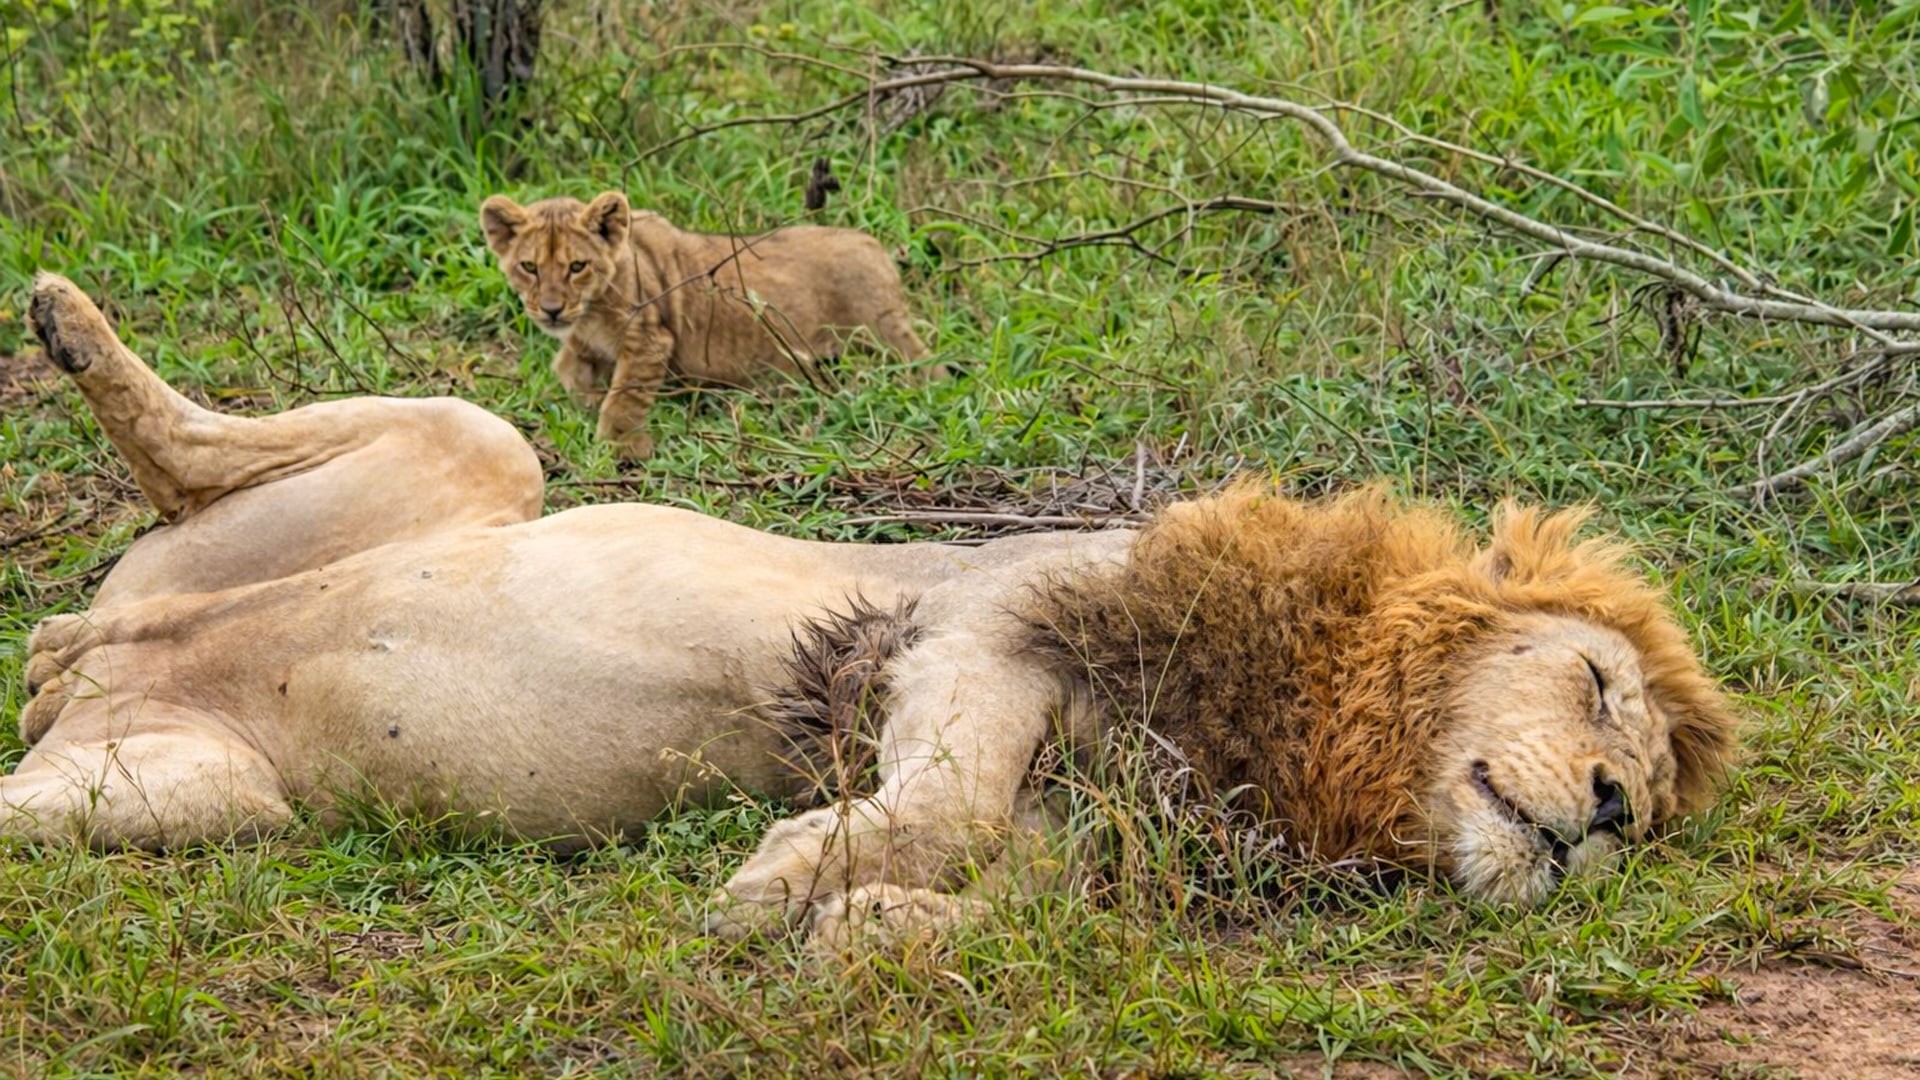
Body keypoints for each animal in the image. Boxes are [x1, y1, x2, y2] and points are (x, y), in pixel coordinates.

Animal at [9, 274, 1737, 947]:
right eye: (1597, 687)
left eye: (1653, 814)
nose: (1602, 808)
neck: (1307, 730)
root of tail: (102, 662)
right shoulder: (988, 622)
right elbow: (942, 802)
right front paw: (782, 878)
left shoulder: (1094, 837)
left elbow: (1002, 894)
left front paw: (855, 924)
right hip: (480, 449)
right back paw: (67, 323)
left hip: (192, 799)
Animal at [480, 191, 930, 460]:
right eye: (529, 267)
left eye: (577, 266)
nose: (552, 310)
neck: (589, 309)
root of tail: (876, 247)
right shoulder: (581, 344)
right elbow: (568, 371)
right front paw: (589, 403)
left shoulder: (651, 338)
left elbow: (624, 396)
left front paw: (622, 447)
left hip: (885, 335)